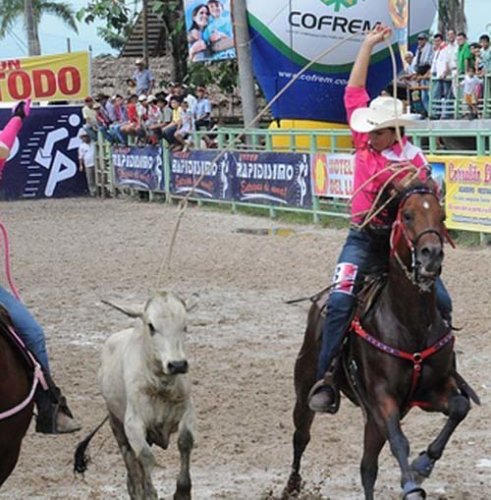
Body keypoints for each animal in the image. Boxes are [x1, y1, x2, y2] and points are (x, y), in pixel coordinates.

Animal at [74, 292, 195, 500]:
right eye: (151, 326)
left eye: (184, 325)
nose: (177, 365)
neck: (160, 386)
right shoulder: (133, 424)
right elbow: (145, 457)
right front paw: (149, 492)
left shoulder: (186, 411)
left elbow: (185, 441)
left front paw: (182, 492)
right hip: (116, 424)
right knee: (131, 460)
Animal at [284, 184, 480, 500]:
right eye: (408, 215)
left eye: (442, 216)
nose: (432, 255)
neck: (409, 322)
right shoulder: (381, 398)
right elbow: (399, 440)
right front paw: (412, 485)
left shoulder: (432, 392)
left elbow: (460, 408)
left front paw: (422, 466)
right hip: (305, 390)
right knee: (301, 435)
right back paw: (291, 486)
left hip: (372, 421)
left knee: (367, 467)